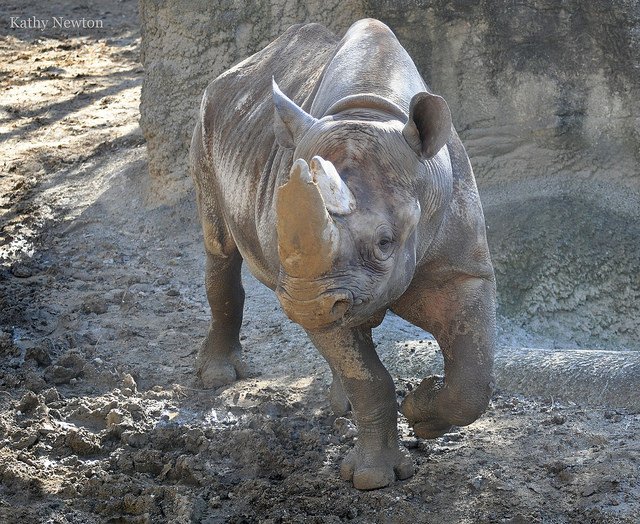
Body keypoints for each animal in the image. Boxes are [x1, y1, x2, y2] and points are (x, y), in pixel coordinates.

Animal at [189, 19, 496, 490]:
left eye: (386, 242)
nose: (303, 305)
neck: (369, 112)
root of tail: (240, 66)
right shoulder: (312, 281)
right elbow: (367, 378)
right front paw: (373, 478)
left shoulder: (461, 269)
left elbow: (472, 381)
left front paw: (421, 411)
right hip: (207, 120)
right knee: (220, 250)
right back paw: (219, 376)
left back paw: (343, 403)